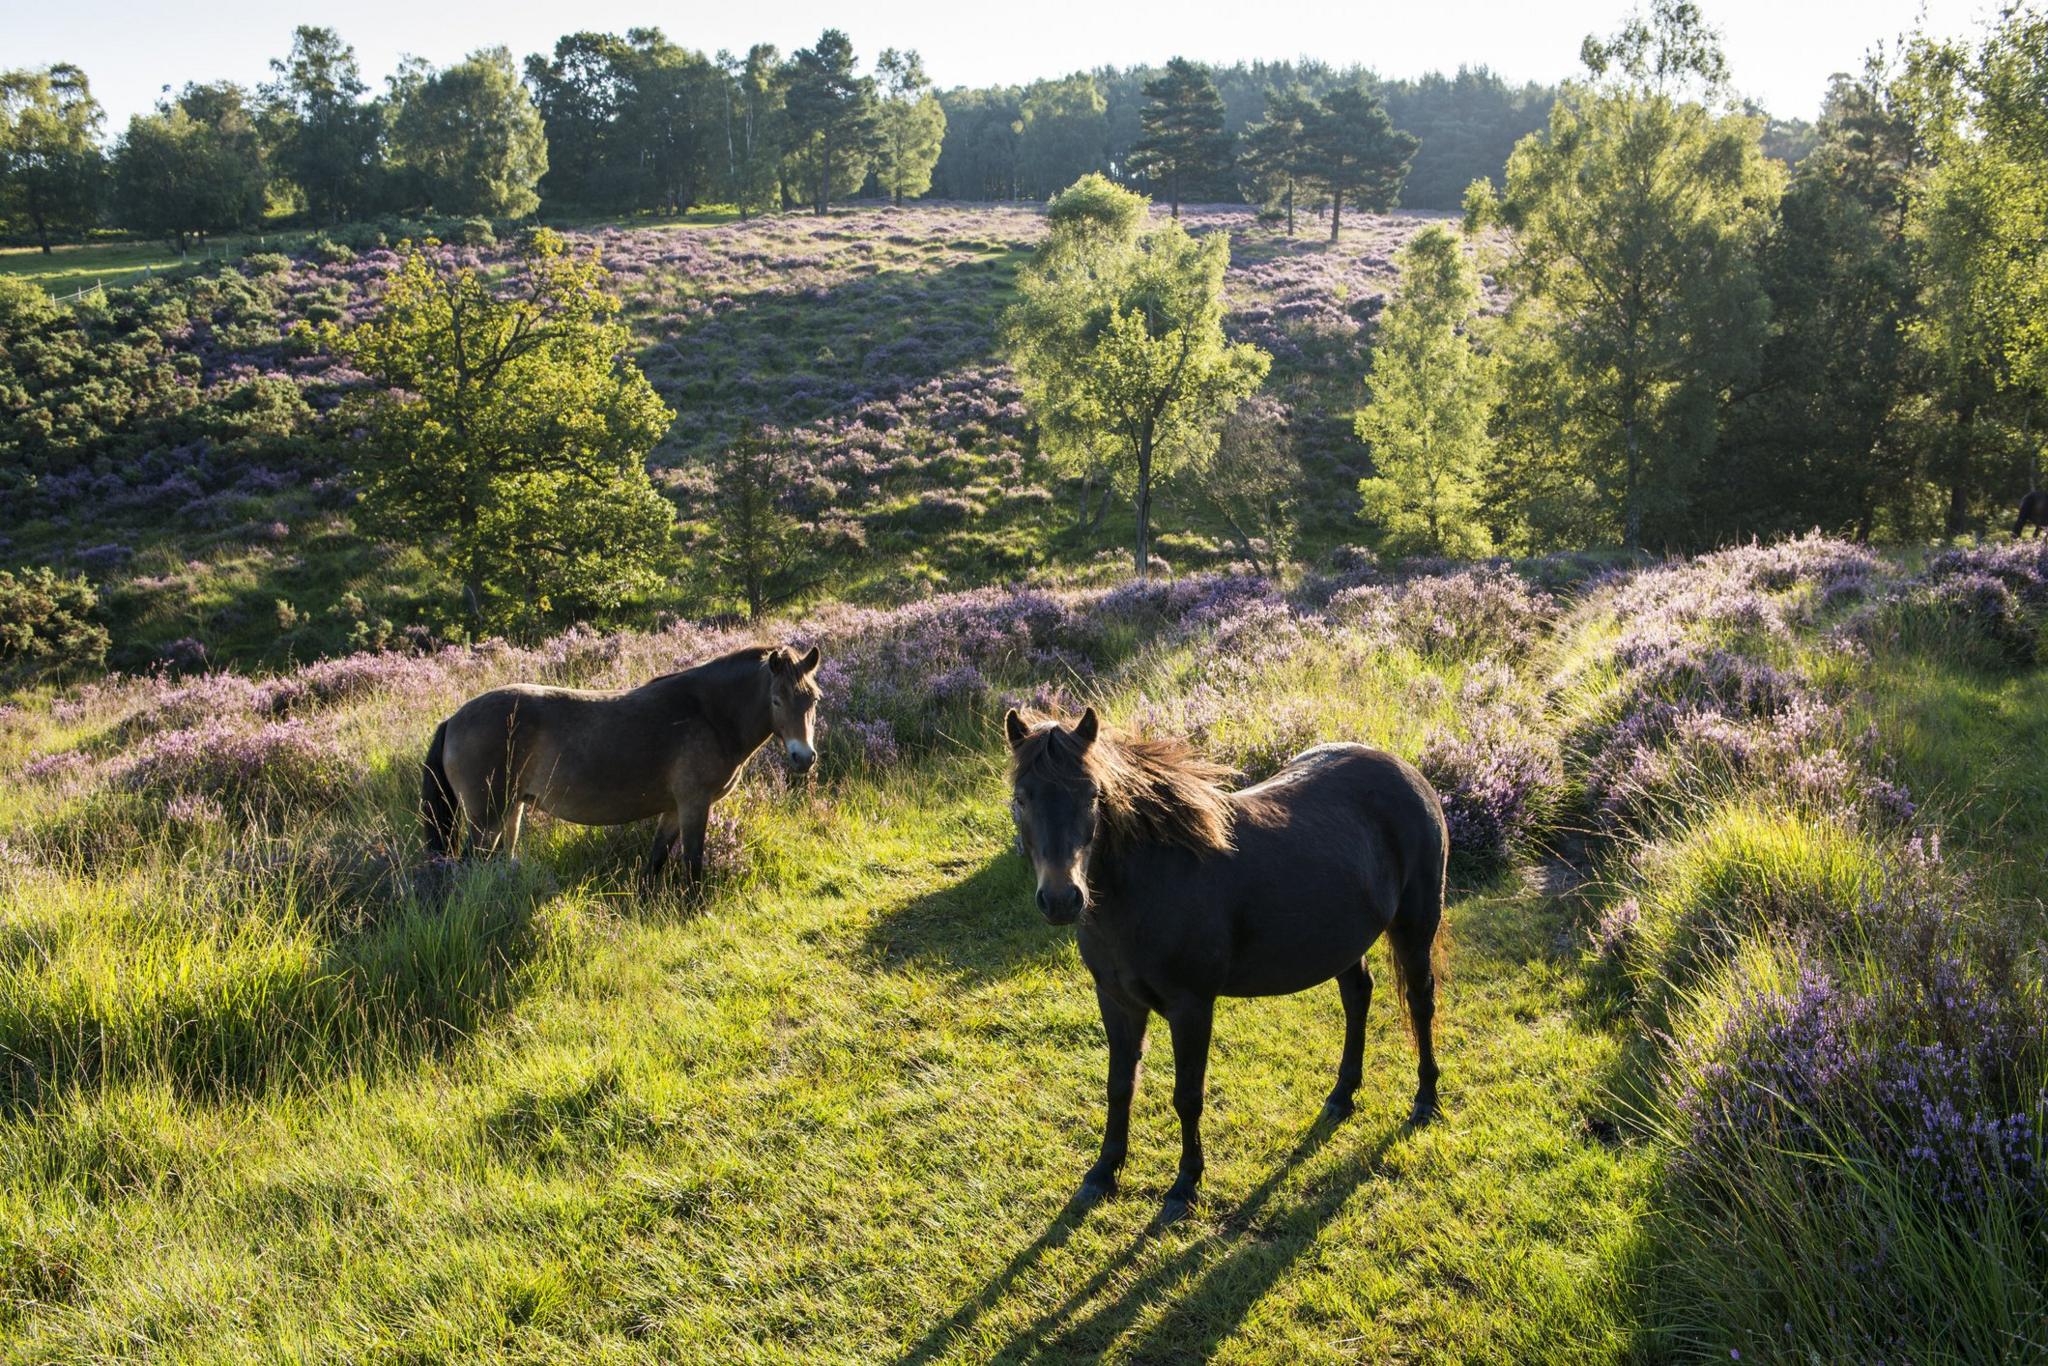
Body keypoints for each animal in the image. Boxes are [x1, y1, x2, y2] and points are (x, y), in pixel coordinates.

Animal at [419, 647, 819, 880]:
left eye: (813, 698)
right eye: (777, 700)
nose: (804, 757)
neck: (708, 713)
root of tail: (453, 719)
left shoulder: (674, 808)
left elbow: (656, 859)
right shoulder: (695, 803)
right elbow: (692, 864)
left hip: (511, 811)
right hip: (485, 818)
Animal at [1003, 704, 1449, 1220]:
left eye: (1092, 794)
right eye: (1021, 797)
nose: (1061, 900)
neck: (1148, 884)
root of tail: (1408, 773)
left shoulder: (1191, 1007)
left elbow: (1187, 1096)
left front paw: (1185, 1184)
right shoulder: (1116, 1001)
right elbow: (1119, 1086)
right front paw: (1102, 1173)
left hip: (1414, 928)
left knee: (1420, 1004)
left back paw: (1426, 1100)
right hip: (1344, 941)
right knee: (1358, 998)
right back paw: (1342, 1097)